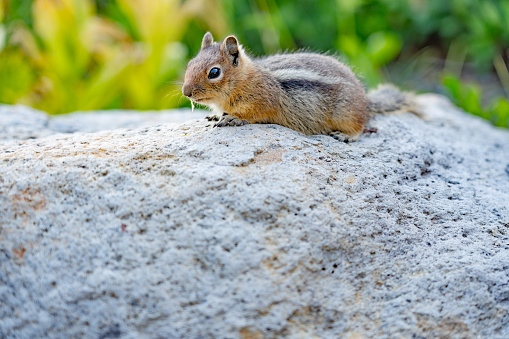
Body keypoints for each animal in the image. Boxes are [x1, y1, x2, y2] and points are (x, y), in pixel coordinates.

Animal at [181, 31, 414, 142]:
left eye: (214, 73)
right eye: (190, 63)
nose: (186, 92)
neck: (246, 80)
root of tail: (365, 101)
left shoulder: (264, 101)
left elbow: (252, 114)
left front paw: (233, 118)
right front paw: (216, 115)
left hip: (345, 112)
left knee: (359, 126)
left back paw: (346, 135)